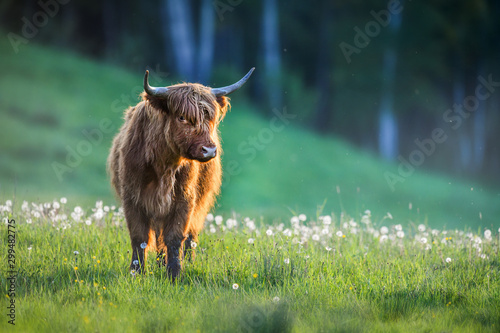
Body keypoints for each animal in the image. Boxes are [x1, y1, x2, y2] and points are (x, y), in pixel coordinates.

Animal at [107, 68, 252, 278]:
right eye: (182, 117)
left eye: (210, 118)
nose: (209, 150)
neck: (163, 165)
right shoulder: (133, 197)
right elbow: (139, 237)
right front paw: (137, 271)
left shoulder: (184, 199)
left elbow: (175, 237)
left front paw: (174, 273)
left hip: (200, 202)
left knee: (190, 235)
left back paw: (184, 262)